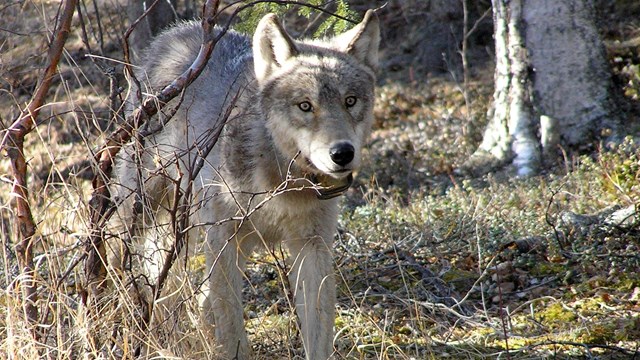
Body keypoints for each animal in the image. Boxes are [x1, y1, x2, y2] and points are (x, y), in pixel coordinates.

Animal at [110, 9, 380, 360]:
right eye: (305, 105)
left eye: (350, 101)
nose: (343, 154)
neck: (283, 182)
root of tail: (174, 32)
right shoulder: (223, 242)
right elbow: (232, 333)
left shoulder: (312, 248)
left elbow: (317, 337)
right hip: (143, 212)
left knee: (191, 297)